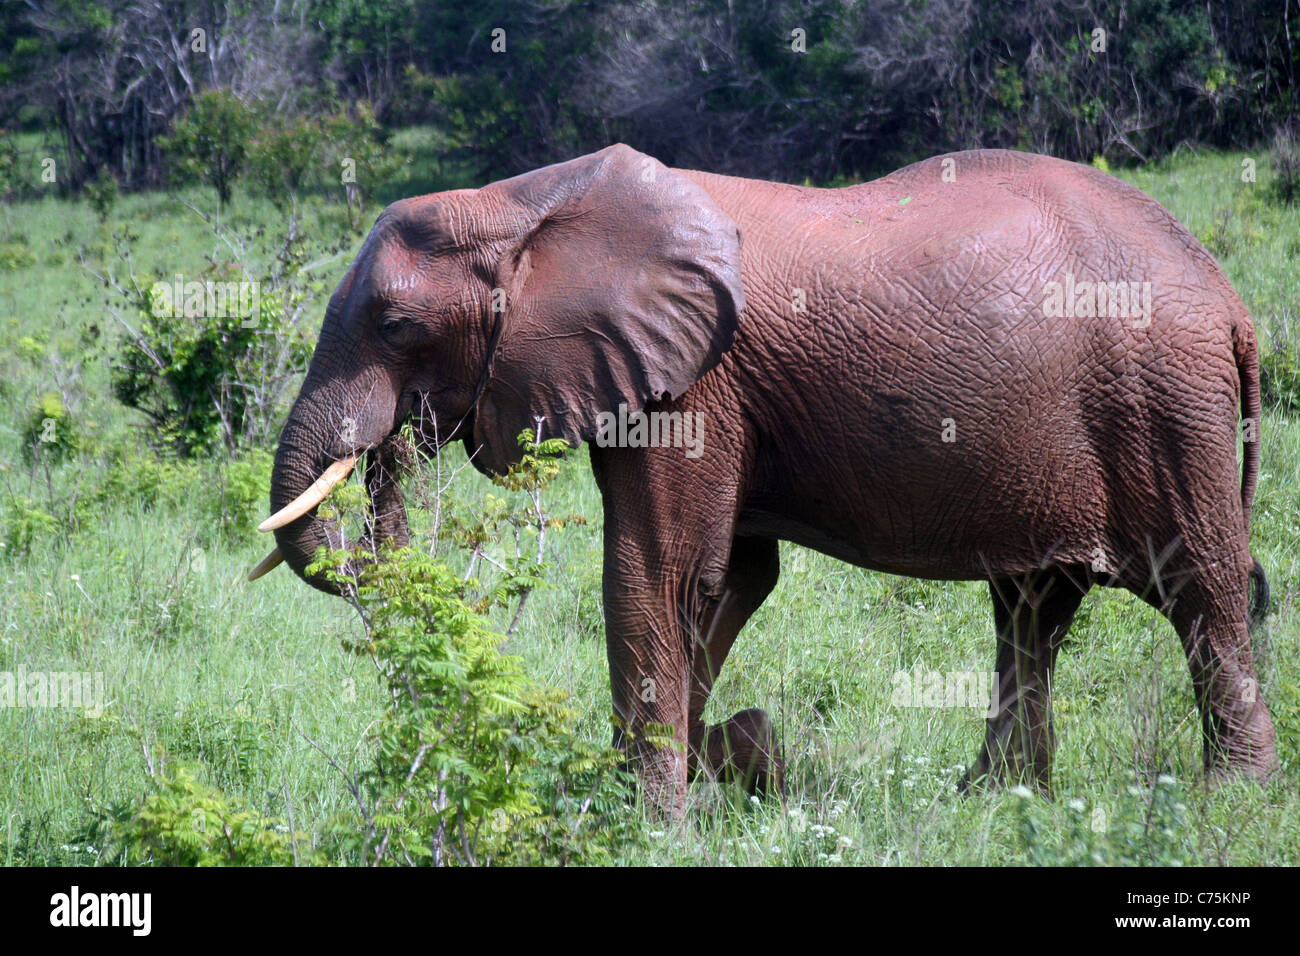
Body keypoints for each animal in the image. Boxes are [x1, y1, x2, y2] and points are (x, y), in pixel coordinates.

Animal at [253, 141, 1279, 816]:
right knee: (1035, 606)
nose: (392, 450)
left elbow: (662, 571)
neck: (526, 200)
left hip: (1165, 404)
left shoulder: (698, 380)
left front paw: (646, 815)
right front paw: (719, 763)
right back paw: (993, 802)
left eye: (395, 325)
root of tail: (1231, 302)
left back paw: (1229, 801)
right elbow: (734, 578)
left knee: (1201, 587)